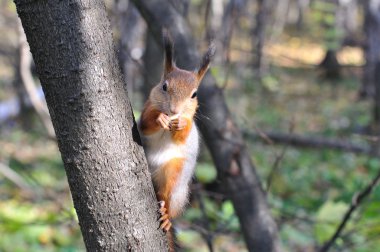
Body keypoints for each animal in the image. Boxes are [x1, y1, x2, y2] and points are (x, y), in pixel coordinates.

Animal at [137, 31, 215, 238]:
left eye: (194, 94)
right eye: (164, 86)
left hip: (176, 173)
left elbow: (184, 133)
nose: (174, 110)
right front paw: (160, 119)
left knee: (167, 196)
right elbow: (146, 123)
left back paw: (166, 215)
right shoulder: (147, 109)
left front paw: (180, 123)